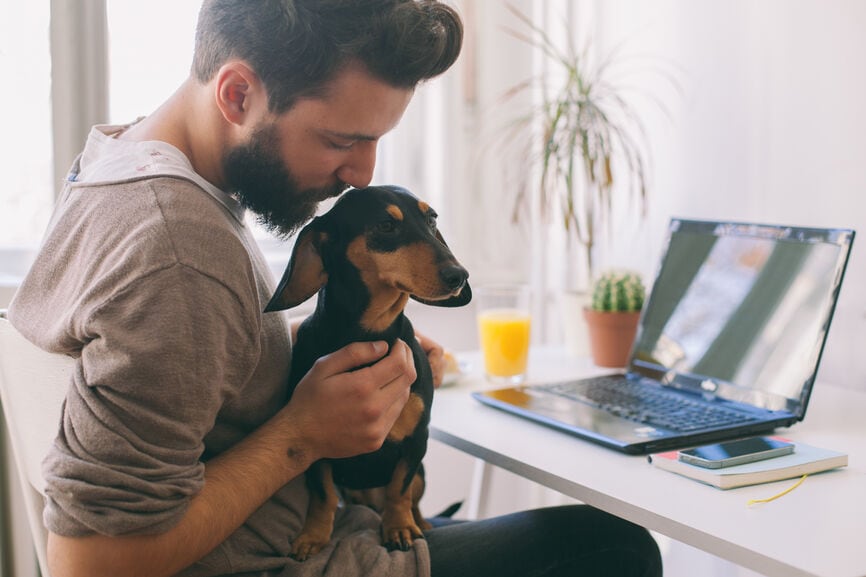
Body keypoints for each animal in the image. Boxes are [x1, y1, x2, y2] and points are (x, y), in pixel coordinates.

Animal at [266, 184, 470, 560]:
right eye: (386, 225)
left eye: (432, 219)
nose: (459, 276)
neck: (371, 333)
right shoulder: (316, 449)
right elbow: (323, 495)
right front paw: (314, 535)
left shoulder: (417, 439)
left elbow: (399, 490)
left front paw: (399, 527)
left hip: (421, 472)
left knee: (412, 496)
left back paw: (420, 522)